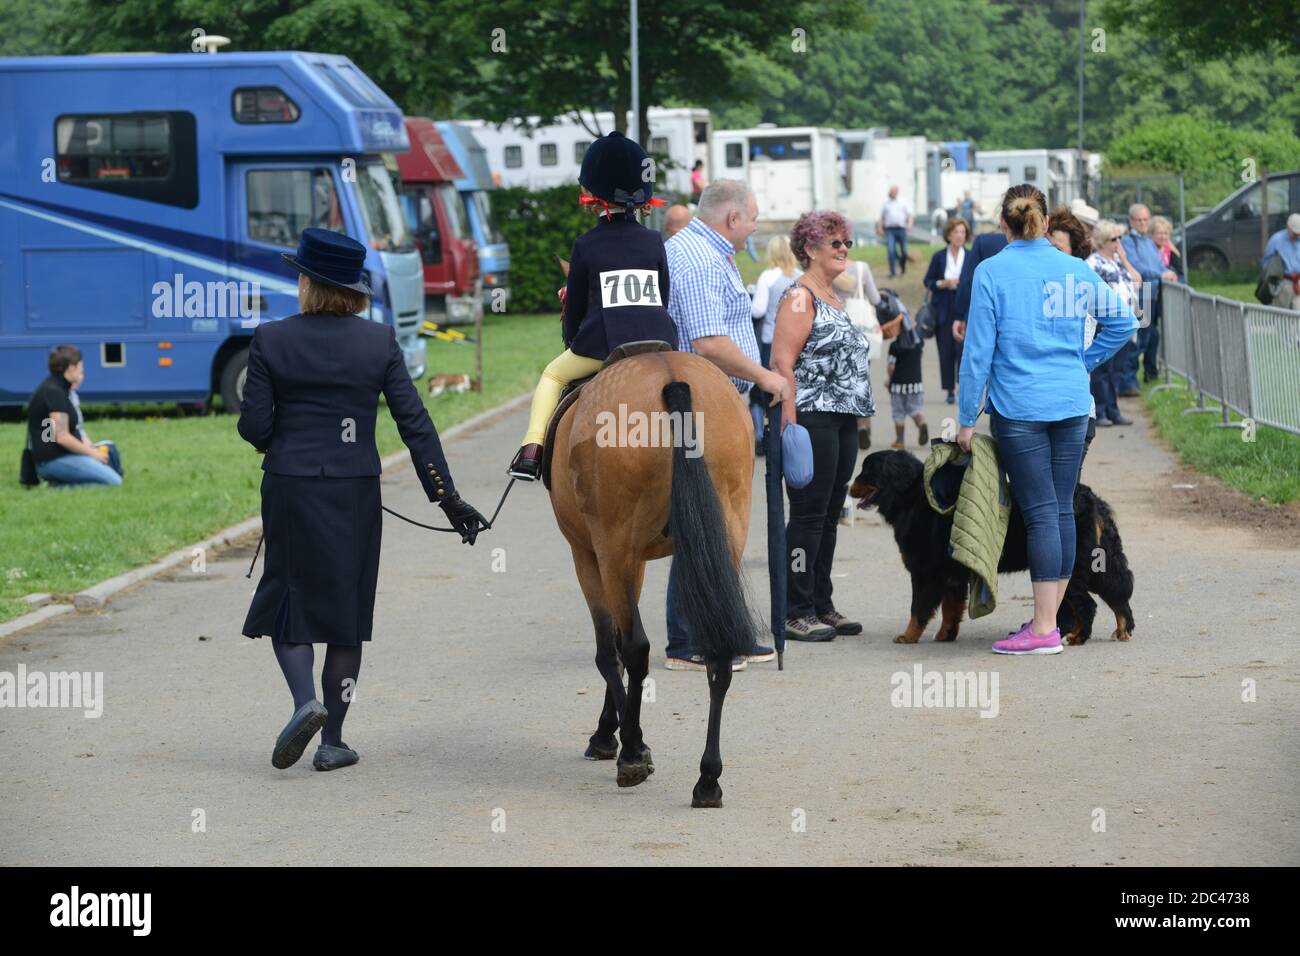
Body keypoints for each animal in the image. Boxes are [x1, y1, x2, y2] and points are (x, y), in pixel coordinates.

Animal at [847, 450, 1133, 647]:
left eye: (866, 471)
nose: (848, 487)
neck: (913, 497)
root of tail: (1092, 500)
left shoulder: (925, 573)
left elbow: (918, 609)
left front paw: (908, 636)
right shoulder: (951, 574)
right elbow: (951, 609)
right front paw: (946, 634)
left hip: (1073, 568)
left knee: (1087, 604)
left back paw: (1078, 637)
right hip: (1097, 563)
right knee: (1117, 594)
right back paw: (1121, 629)